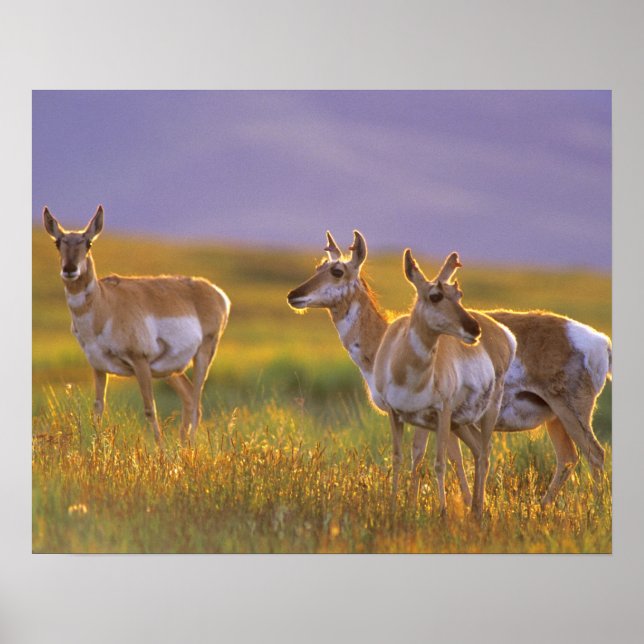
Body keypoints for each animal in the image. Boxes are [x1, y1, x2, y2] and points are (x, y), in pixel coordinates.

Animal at [43, 205, 230, 447]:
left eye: (89, 243)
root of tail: (216, 291)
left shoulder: (140, 362)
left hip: (203, 355)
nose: (69, 269)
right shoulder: (98, 367)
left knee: (196, 402)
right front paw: (96, 449)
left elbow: (150, 409)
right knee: (189, 397)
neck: (105, 305)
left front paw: (161, 451)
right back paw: (183, 446)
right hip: (168, 370)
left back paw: (190, 446)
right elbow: (98, 409)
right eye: (58, 243)